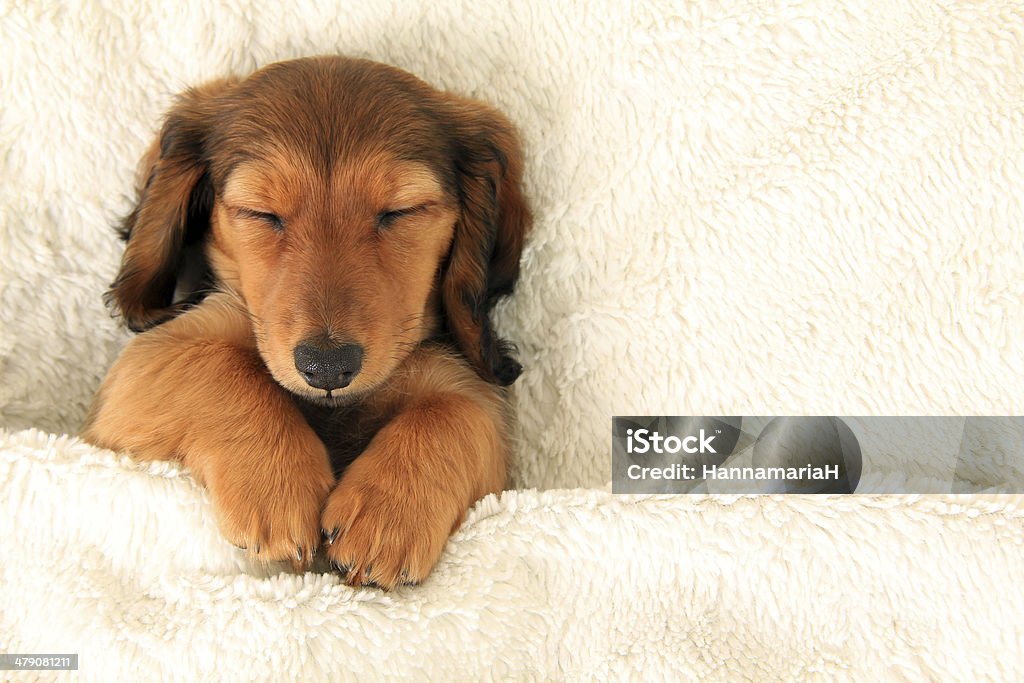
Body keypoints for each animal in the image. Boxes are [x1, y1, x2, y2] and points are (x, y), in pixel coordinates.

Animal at [81, 54, 528, 589]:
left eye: (400, 211)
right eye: (261, 213)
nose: (327, 367)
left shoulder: (471, 399)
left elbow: (456, 412)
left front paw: (387, 517)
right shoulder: (137, 375)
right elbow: (219, 363)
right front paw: (278, 483)